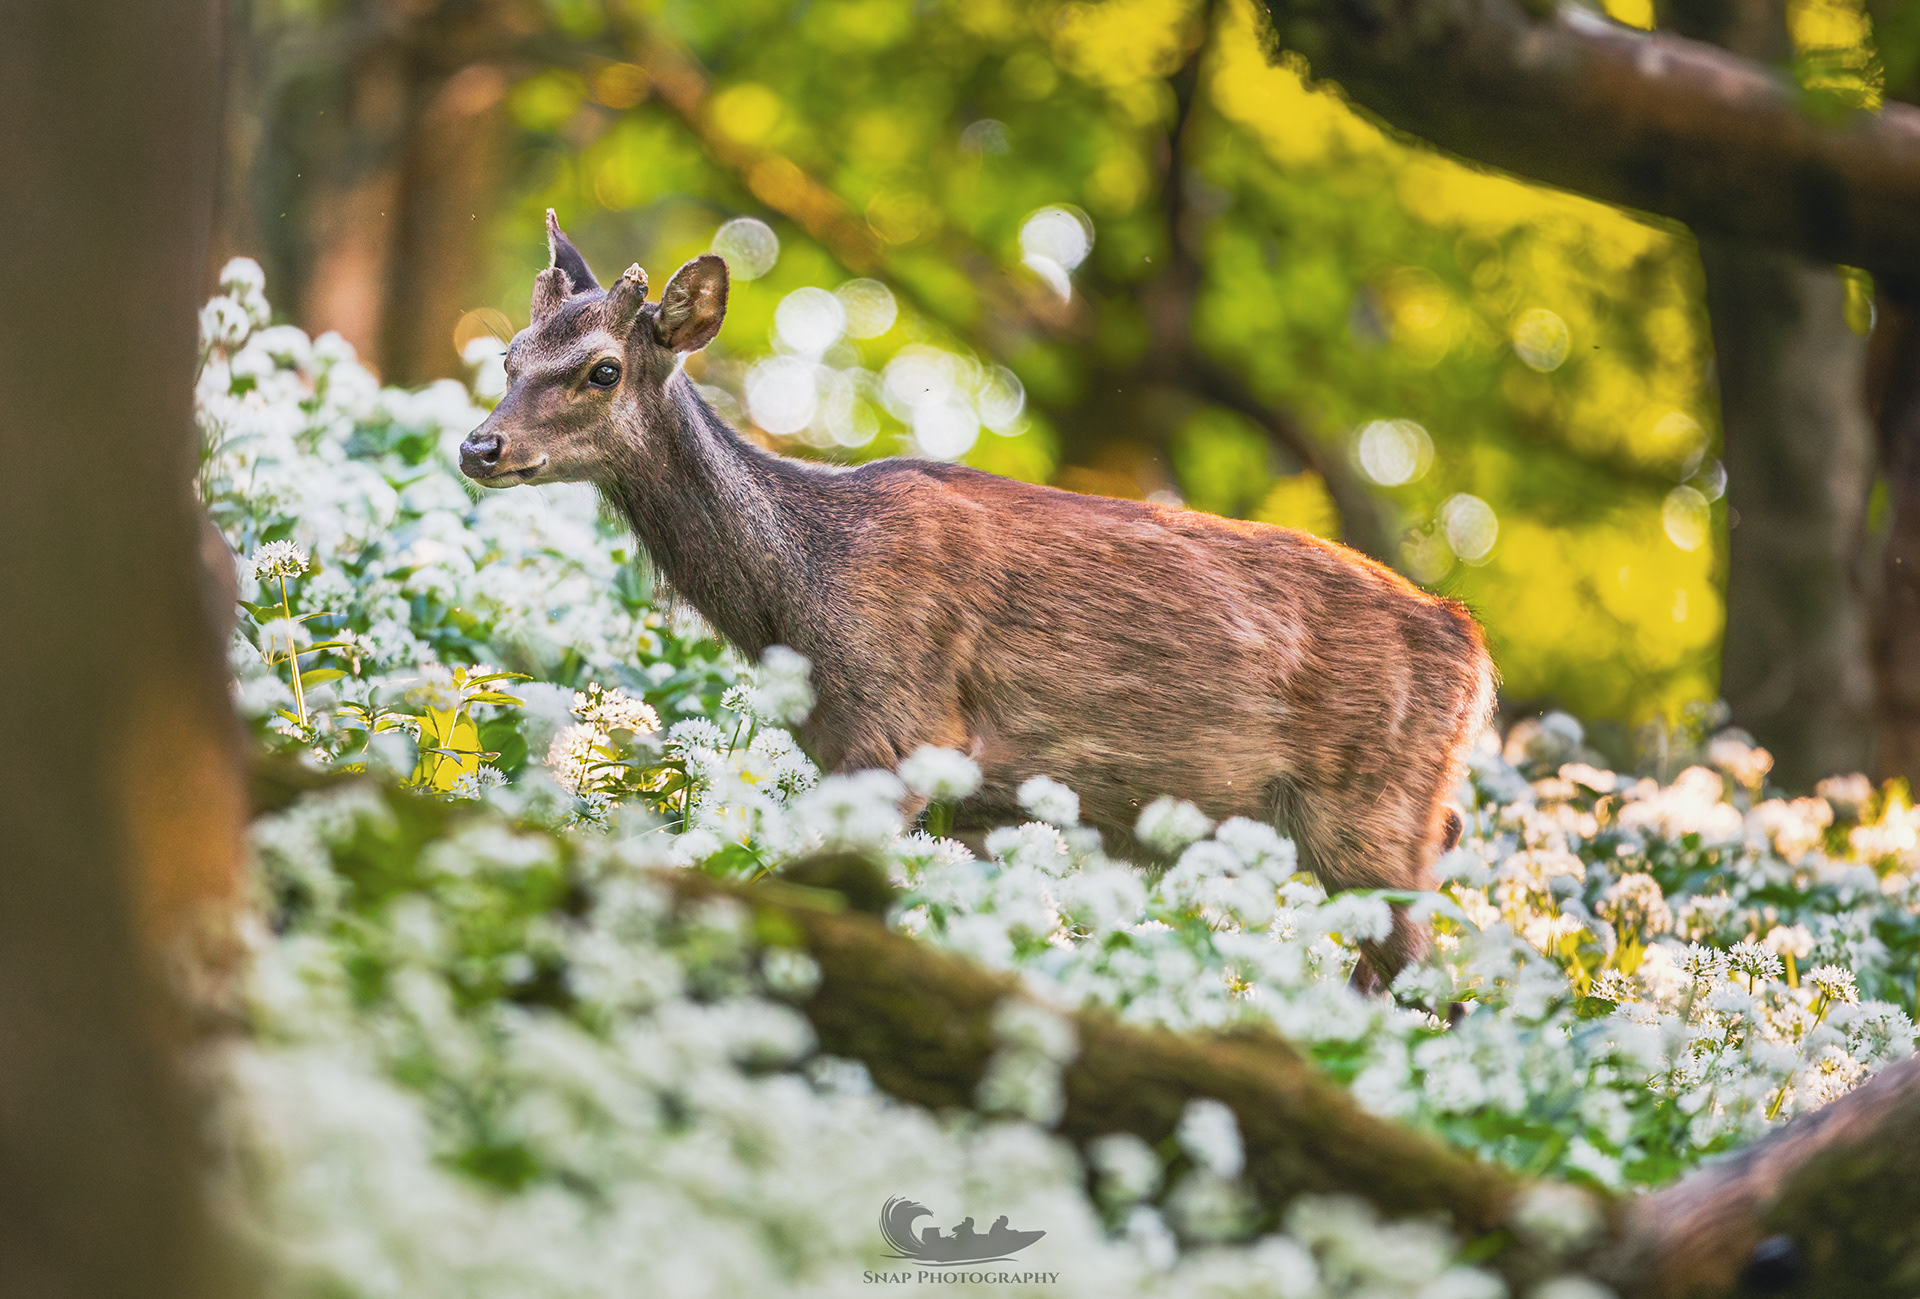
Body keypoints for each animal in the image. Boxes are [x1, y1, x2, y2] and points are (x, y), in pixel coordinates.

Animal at [459, 213, 1497, 989]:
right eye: (510, 356)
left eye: (602, 368)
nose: (480, 445)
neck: (802, 597)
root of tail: (1475, 650)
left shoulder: (908, 731)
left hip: (1369, 809)